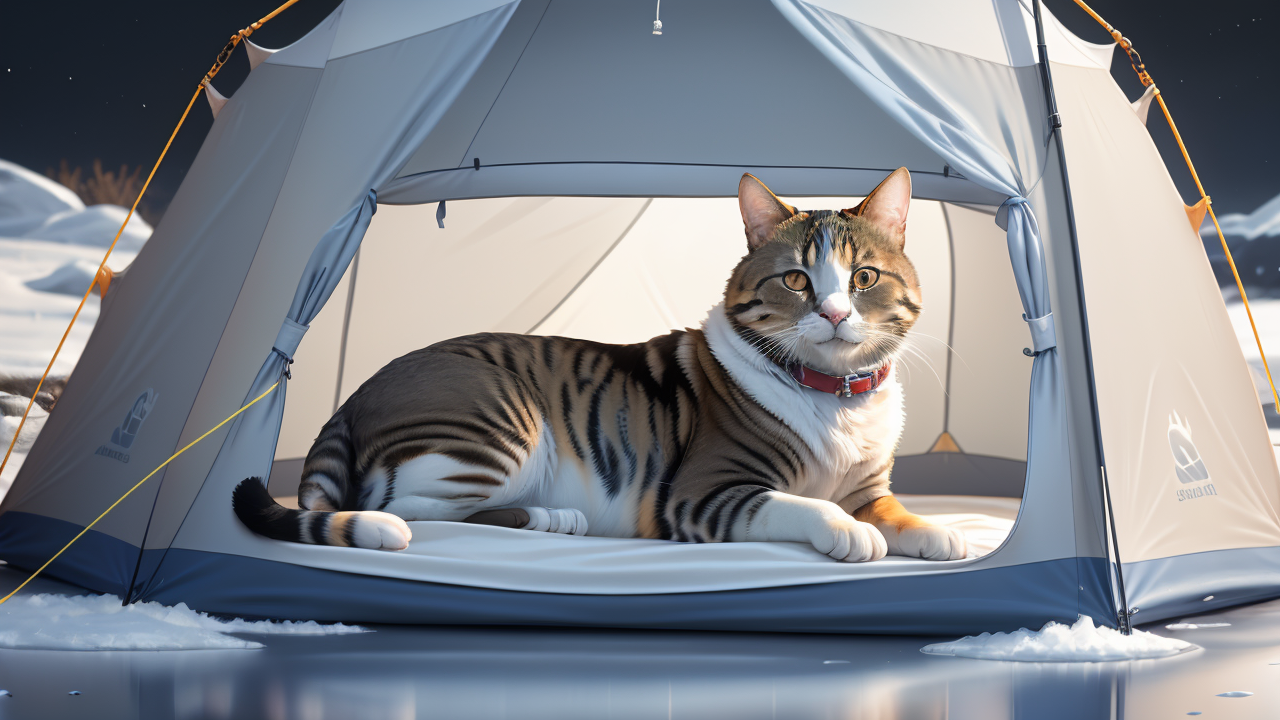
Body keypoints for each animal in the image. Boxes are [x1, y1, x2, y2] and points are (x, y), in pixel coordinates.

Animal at [235, 167, 962, 561]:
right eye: (797, 281)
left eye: (862, 277)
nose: (836, 314)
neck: (837, 396)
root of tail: (354, 397)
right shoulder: (706, 494)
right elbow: (806, 507)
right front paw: (849, 534)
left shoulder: (870, 489)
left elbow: (897, 513)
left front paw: (940, 536)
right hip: (503, 427)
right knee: (414, 509)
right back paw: (542, 518)